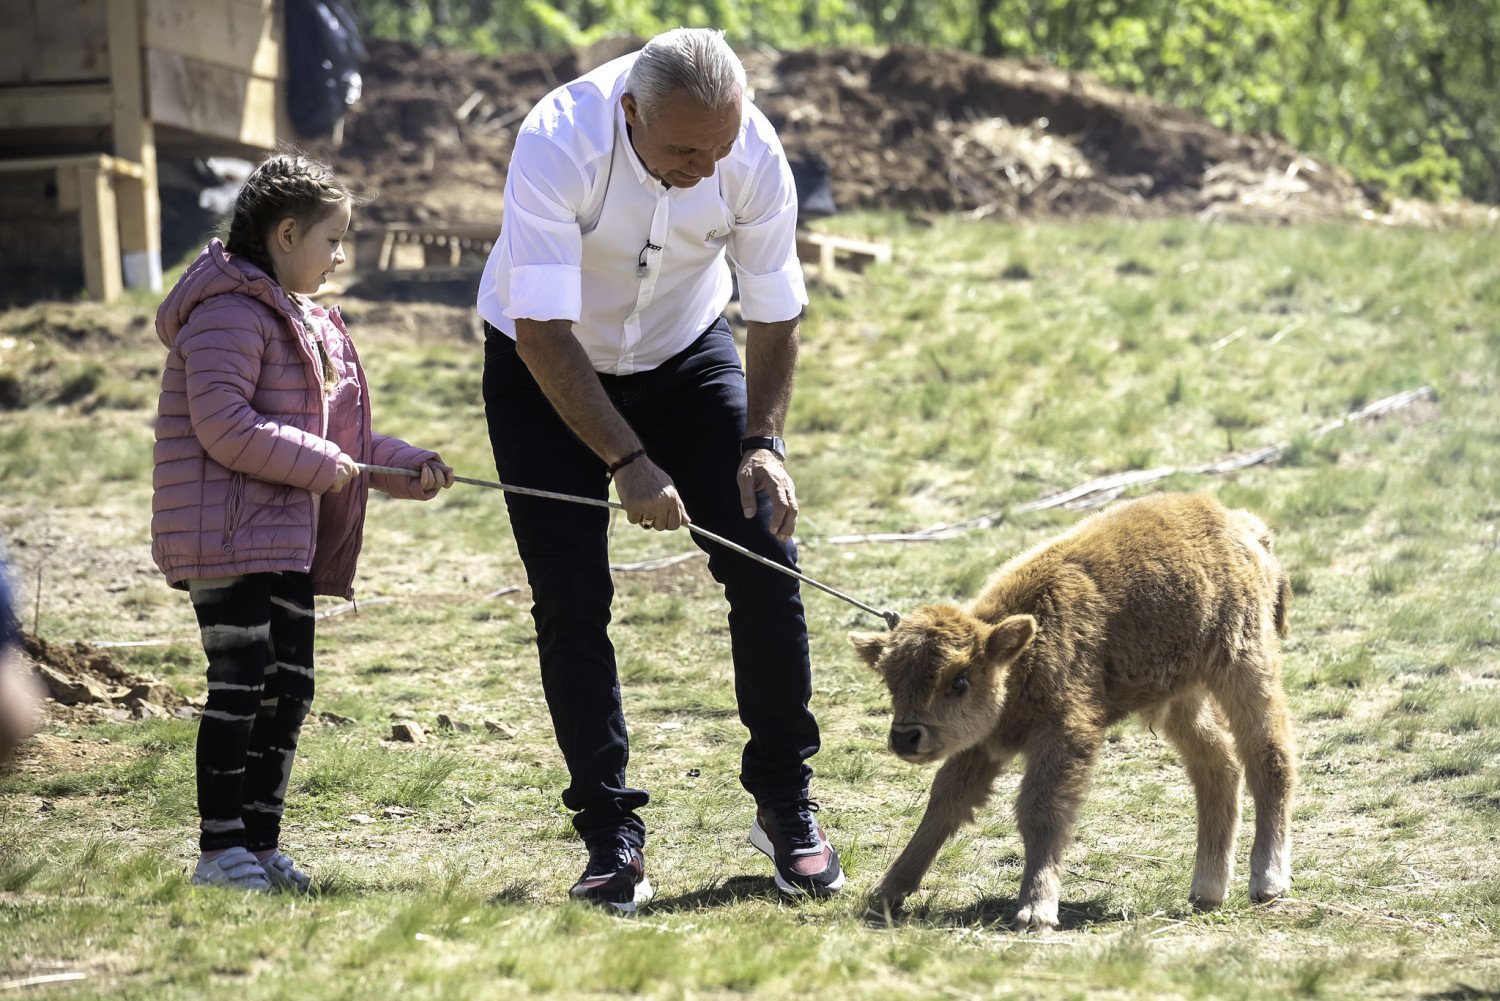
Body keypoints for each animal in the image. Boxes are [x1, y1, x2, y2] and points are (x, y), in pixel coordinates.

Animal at [852, 492, 1296, 930]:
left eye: (959, 680)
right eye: (891, 681)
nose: (906, 737)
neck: (1024, 650)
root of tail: (1243, 526)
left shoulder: (1063, 735)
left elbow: (1041, 809)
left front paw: (1036, 910)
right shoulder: (985, 743)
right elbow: (945, 802)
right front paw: (888, 892)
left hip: (1244, 666)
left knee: (1269, 756)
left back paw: (1267, 881)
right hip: (1181, 700)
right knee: (1219, 766)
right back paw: (1207, 890)